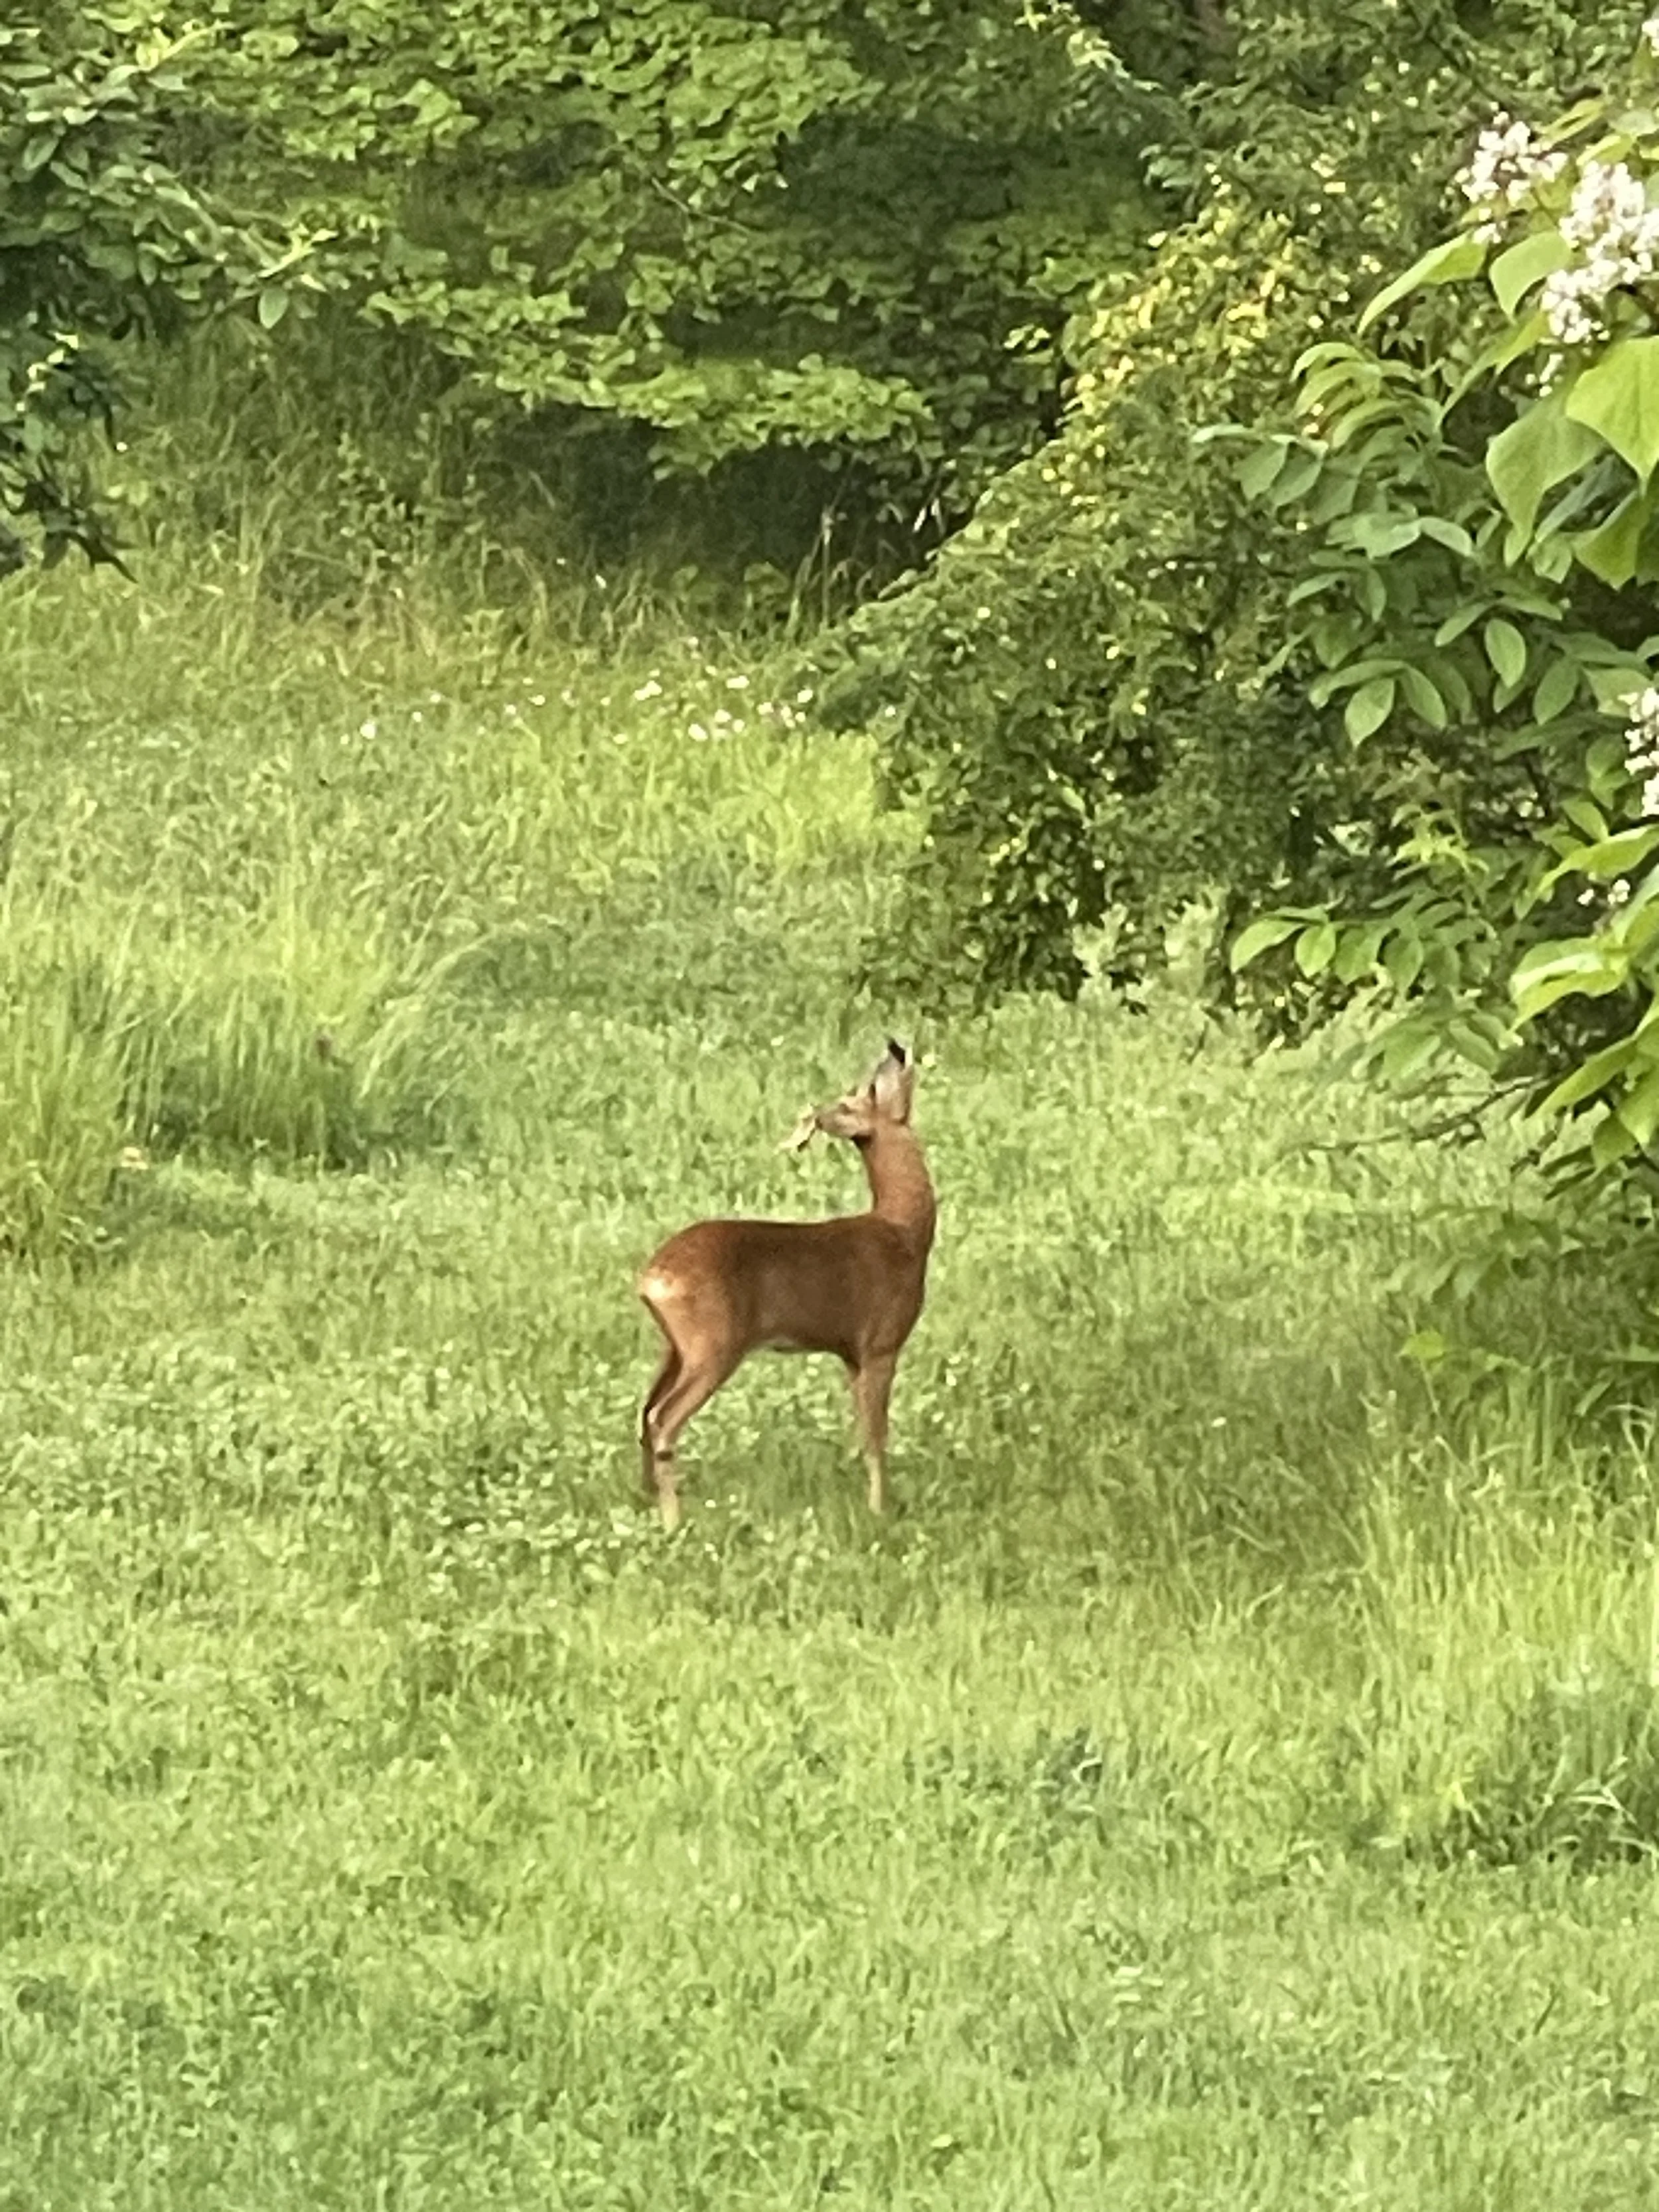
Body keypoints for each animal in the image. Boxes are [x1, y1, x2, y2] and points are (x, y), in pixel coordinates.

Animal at [636, 1041, 936, 1531]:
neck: (904, 1233)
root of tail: (651, 1278)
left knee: (644, 1411)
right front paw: (879, 1509)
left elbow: (860, 1430)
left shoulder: (850, 1354)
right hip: (712, 1343)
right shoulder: (881, 1343)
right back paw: (673, 1520)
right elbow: (877, 1435)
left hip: (675, 1347)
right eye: (852, 1101)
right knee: (663, 1419)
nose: (900, 1049)